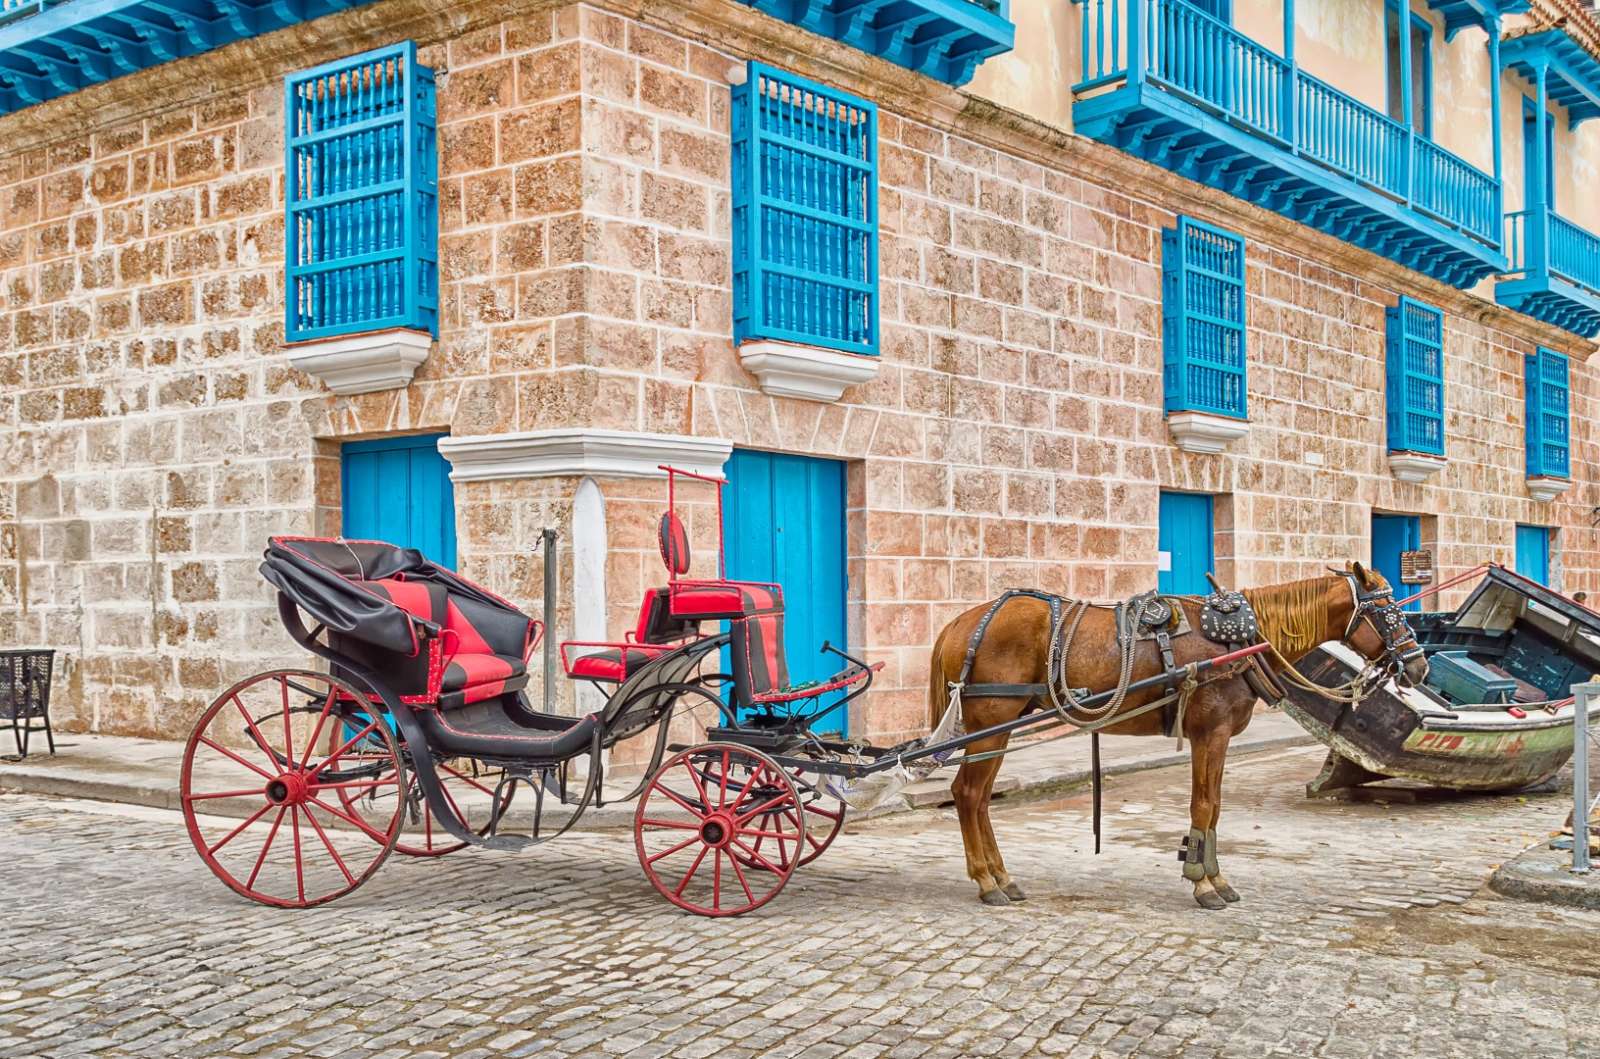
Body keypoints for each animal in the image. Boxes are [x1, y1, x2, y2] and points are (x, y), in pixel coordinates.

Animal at [928, 563, 1427, 915]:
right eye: (1388, 612)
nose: (1419, 665)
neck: (1239, 640)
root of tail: (962, 622)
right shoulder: (1210, 732)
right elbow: (1203, 805)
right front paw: (1202, 883)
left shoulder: (1219, 738)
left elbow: (1216, 807)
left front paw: (1216, 878)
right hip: (991, 718)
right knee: (968, 794)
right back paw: (987, 880)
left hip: (1002, 725)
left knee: (979, 798)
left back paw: (1001, 876)